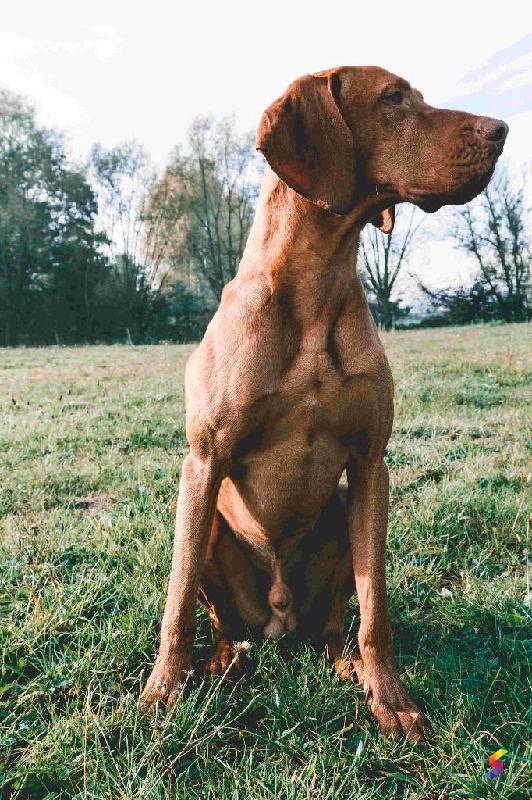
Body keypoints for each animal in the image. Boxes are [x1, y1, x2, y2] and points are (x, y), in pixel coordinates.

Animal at [141, 65, 508, 740]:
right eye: (394, 98)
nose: (501, 129)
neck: (314, 288)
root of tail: (280, 622)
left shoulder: (369, 465)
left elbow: (376, 610)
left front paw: (392, 701)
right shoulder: (202, 463)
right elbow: (176, 603)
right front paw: (160, 692)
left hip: (339, 517)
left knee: (338, 625)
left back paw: (344, 665)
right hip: (210, 527)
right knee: (221, 622)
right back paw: (221, 662)